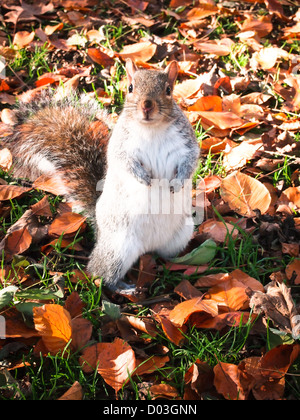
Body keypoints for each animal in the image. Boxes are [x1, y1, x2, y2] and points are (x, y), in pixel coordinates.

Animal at [2, 60, 200, 294]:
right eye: (130, 88)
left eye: (169, 90)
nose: (147, 106)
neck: (152, 129)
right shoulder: (120, 146)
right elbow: (124, 162)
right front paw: (143, 178)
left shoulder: (186, 143)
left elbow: (191, 160)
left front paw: (178, 182)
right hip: (117, 249)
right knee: (100, 273)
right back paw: (123, 287)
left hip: (181, 234)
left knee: (164, 255)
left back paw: (178, 264)